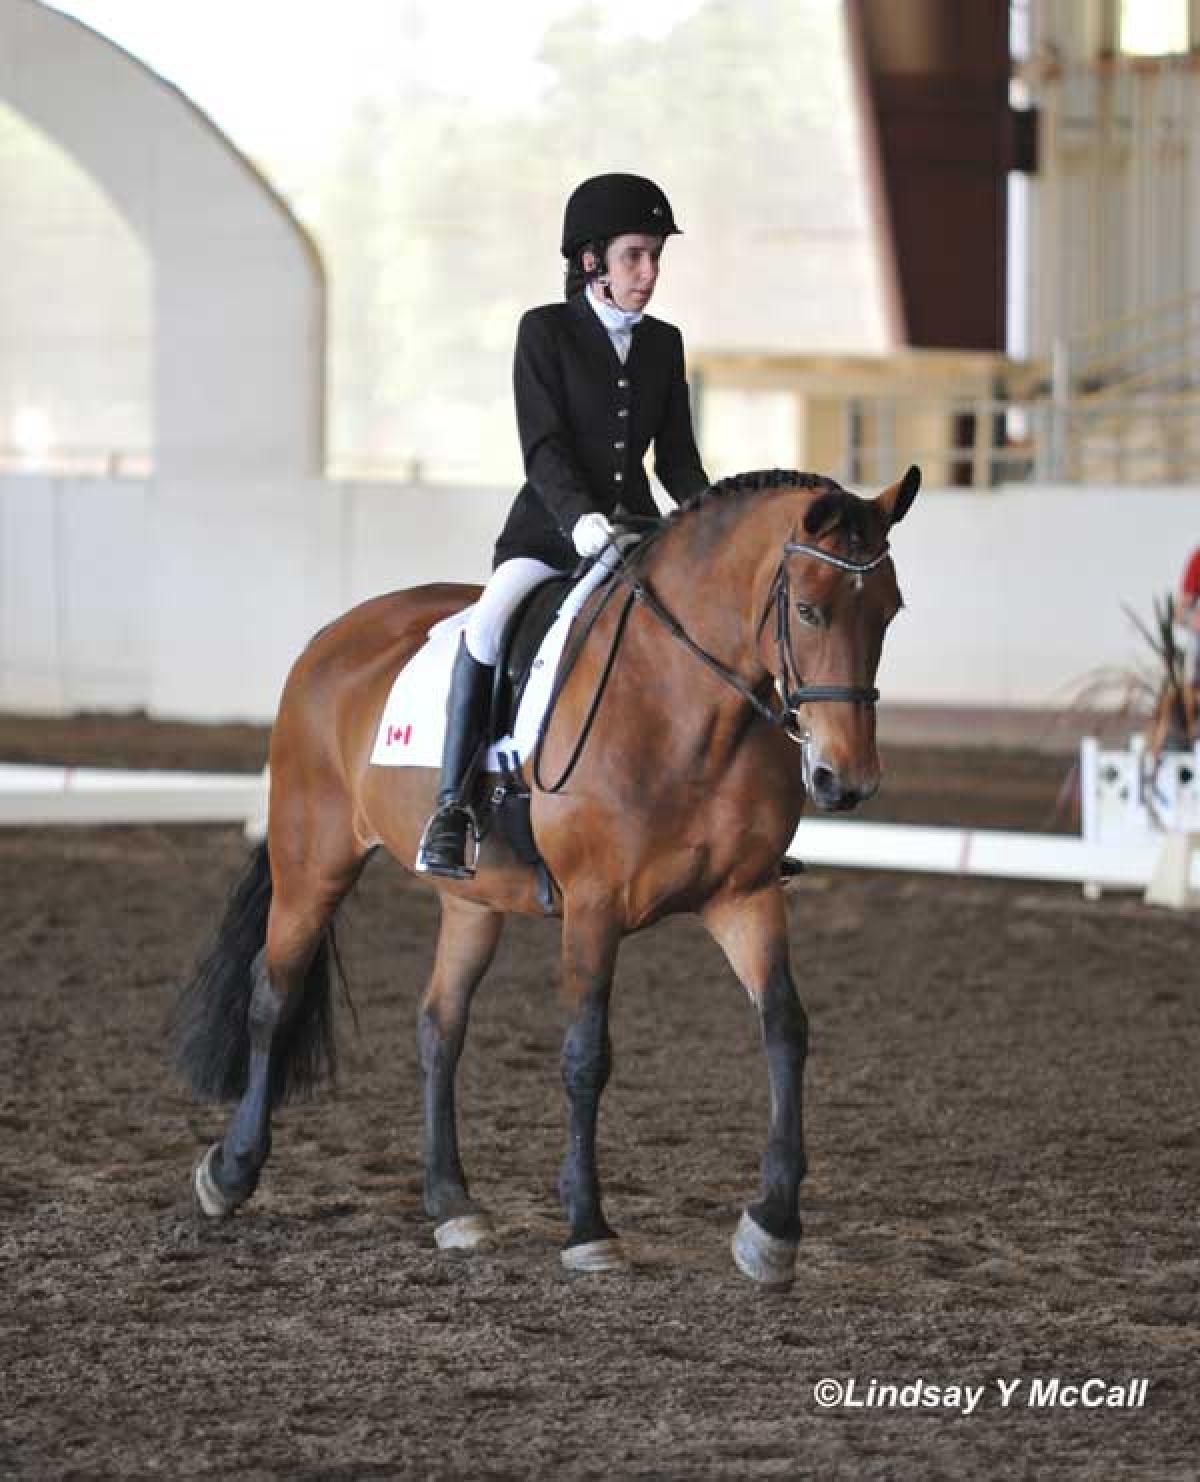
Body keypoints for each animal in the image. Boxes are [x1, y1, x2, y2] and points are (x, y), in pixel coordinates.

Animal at [170, 465, 918, 1286]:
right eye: (810, 611)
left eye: (890, 614)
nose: (846, 781)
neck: (685, 706)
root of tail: (332, 637)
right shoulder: (594, 905)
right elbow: (586, 1055)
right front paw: (588, 1227)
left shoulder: (743, 897)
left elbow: (785, 1029)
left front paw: (771, 1228)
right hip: (314, 858)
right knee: (272, 997)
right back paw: (229, 1174)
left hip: (470, 899)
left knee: (439, 1026)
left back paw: (452, 1204)